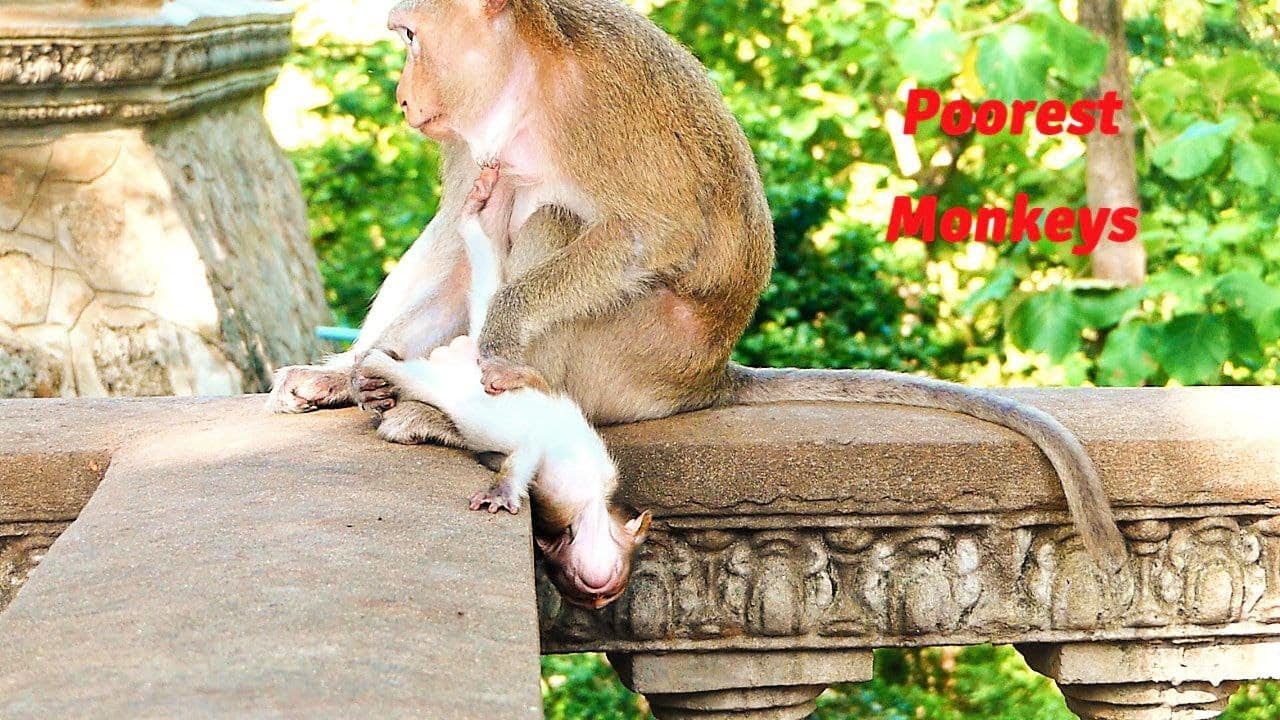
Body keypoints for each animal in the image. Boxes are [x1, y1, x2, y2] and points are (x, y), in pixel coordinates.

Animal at [268, 0, 1126, 574]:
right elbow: (456, 245)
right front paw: (351, 373)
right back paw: (369, 383)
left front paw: (492, 341)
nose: (402, 98)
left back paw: (447, 416)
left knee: (552, 221)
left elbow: (659, 231)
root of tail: (709, 374)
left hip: (640, 353)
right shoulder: (472, 145)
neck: (526, 80)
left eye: (410, 38)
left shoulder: (601, 106)